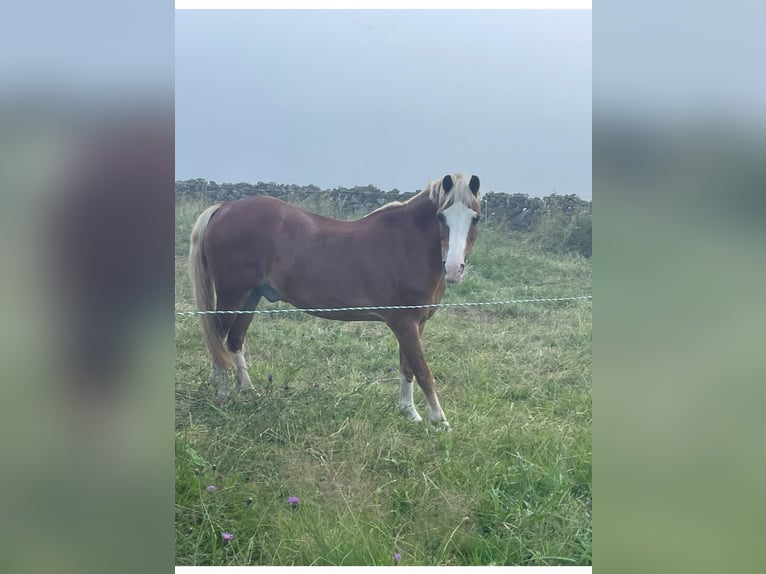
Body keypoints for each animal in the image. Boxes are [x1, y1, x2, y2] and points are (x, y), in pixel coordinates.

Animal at [190, 173, 484, 430]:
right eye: (441, 216)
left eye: (475, 218)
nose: (454, 269)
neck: (407, 245)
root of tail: (225, 207)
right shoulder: (405, 323)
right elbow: (423, 371)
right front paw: (440, 421)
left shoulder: (415, 323)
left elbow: (407, 367)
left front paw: (409, 413)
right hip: (233, 295)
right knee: (217, 338)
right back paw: (222, 393)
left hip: (251, 296)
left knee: (234, 340)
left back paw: (248, 390)